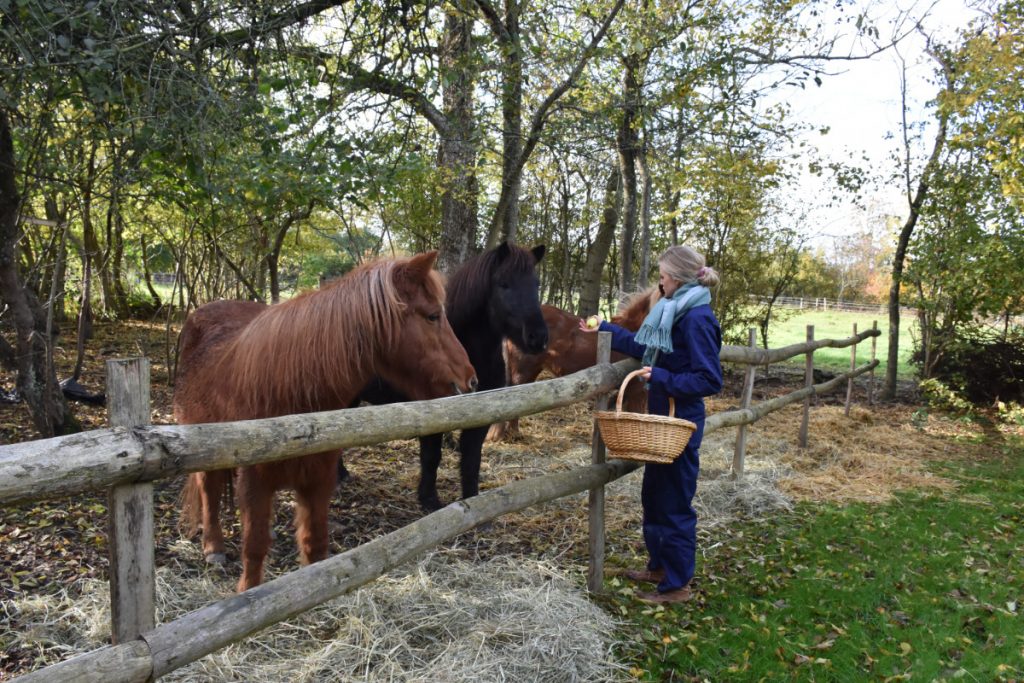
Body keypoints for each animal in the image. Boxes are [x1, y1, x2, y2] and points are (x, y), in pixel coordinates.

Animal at [174, 252, 477, 593]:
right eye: (432, 316)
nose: (470, 380)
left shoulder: (319, 478)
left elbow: (315, 546)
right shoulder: (254, 480)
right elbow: (254, 547)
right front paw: (247, 591)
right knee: (208, 492)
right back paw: (213, 547)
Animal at [360, 242, 552, 509]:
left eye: (536, 284)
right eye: (504, 284)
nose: (538, 338)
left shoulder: (481, 418)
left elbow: (471, 459)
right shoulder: (431, 416)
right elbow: (432, 457)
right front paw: (429, 500)